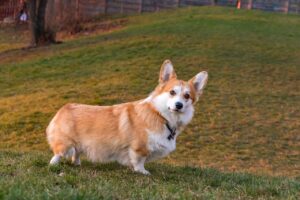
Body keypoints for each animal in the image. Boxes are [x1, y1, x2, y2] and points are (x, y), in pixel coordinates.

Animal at [46, 60, 209, 174]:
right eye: (172, 92)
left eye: (187, 96)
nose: (179, 105)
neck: (161, 115)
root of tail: (64, 108)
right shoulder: (139, 148)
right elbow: (139, 161)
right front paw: (142, 172)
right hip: (65, 143)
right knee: (58, 154)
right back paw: (53, 165)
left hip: (79, 144)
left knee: (76, 153)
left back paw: (77, 163)